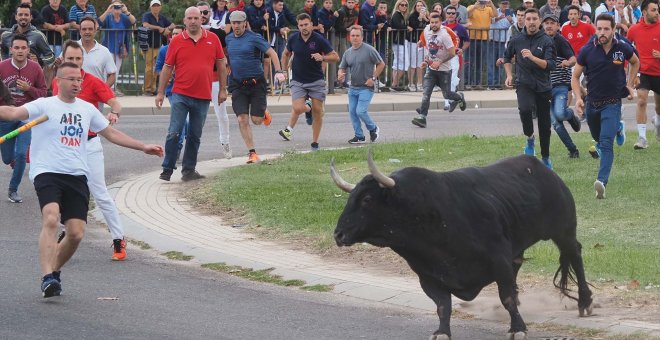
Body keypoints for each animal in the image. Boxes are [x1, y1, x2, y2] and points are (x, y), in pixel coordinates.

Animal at [332, 153, 596, 338]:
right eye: (349, 198)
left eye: (367, 199)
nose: (338, 234)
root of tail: (543, 169)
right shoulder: (428, 276)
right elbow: (442, 305)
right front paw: (442, 332)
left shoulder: (498, 258)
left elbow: (506, 297)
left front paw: (518, 327)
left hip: (563, 231)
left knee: (575, 255)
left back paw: (584, 301)